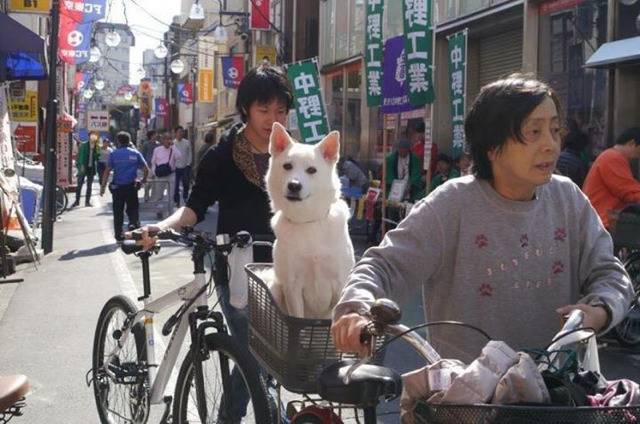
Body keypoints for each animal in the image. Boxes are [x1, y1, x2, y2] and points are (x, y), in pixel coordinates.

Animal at [264, 122, 356, 318]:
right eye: (287, 166)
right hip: (274, 287)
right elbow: (296, 315)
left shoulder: (340, 283)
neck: (308, 222)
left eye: (312, 170)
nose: (294, 185)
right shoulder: (292, 286)